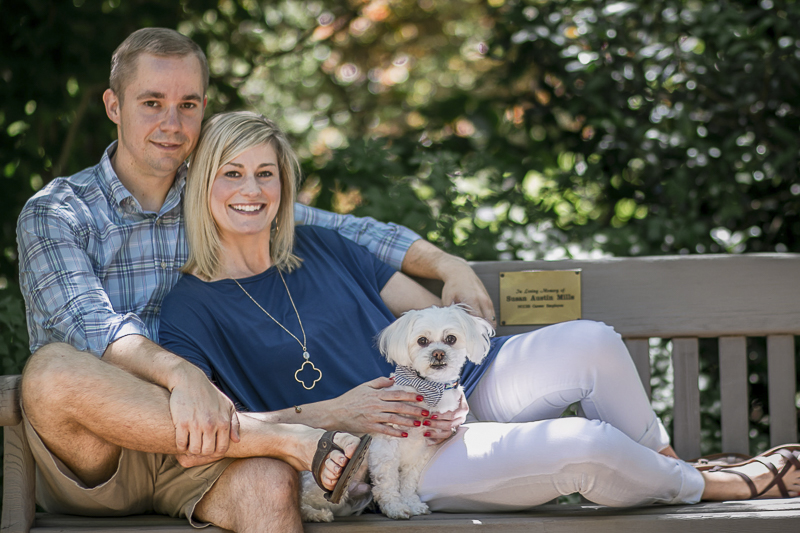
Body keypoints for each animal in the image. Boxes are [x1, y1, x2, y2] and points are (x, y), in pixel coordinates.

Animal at [368, 306, 494, 516]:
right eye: (422, 341)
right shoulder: (385, 446)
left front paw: (412, 503)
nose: (438, 353)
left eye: (450, 338)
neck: (430, 389)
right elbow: (388, 481)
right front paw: (395, 507)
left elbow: (409, 481)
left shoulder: (423, 448)